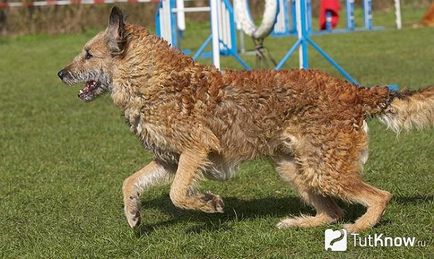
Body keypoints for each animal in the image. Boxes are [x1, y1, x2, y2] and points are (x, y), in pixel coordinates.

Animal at [58, 6, 434, 234]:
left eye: (88, 54)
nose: (61, 74)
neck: (154, 82)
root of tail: (355, 91)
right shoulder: (168, 160)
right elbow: (130, 182)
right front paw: (133, 214)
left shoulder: (195, 151)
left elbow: (178, 194)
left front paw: (207, 203)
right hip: (294, 169)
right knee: (333, 212)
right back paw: (300, 223)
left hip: (324, 171)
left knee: (379, 197)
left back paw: (357, 229)